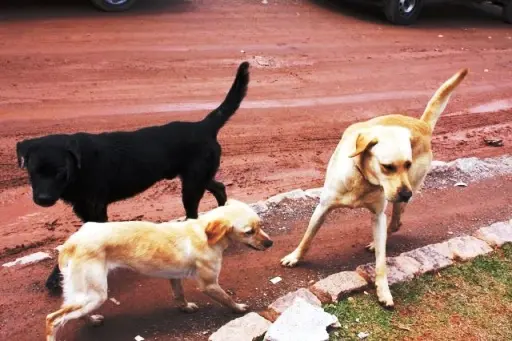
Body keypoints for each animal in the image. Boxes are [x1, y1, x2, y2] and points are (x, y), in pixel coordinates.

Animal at [19, 60, 251, 292]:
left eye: (60, 172)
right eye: (33, 170)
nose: (43, 199)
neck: (80, 166)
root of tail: (203, 125)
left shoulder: (95, 210)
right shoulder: (84, 209)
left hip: (192, 185)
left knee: (194, 214)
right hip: (199, 178)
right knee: (220, 187)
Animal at [46, 199, 274, 340]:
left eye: (261, 225)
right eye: (249, 232)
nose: (270, 243)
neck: (204, 233)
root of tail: (70, 243)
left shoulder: (174, 275)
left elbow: (179, 294)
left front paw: (185, 307)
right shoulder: (209, 285)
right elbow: (227, 298)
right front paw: (239, 309)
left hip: (86, 294)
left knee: (74, 313)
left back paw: (92, 320)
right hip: (95, 294)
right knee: (53, 319)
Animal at [282, 68, 470, 306]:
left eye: (407, 164)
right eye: (387, 167)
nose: (406, 194)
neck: (362, 180)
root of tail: (422, 125)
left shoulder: (378, 214)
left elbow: (381, 261)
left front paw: (383, 290)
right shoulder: (323, 207)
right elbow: (307, 237)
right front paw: (295, 257)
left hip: (403, 194)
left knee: (396, 222)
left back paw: (378, 240)